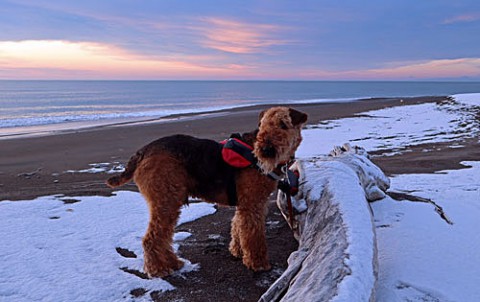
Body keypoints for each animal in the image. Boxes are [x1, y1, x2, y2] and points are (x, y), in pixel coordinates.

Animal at [106, 107, 308, 278]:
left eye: (283, 125)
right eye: (262, 125)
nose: (265, 150)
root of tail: (143, 152)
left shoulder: (245, 204)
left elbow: (237, 227)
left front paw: (237, 251)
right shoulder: (253, 204)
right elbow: (253, 236)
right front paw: (257, 264)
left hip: (168, 202)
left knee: (162, 238)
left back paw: (173, 263)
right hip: (166, 201)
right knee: (152, 239)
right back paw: (159, 269)